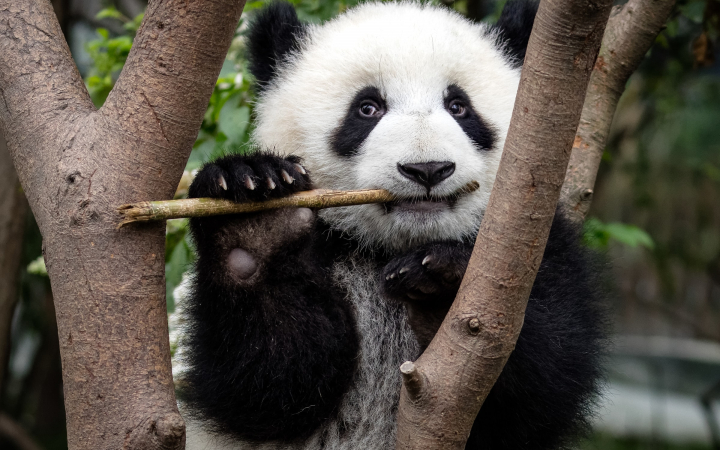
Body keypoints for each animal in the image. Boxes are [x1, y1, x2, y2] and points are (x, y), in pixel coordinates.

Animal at [177, 1, 604, 448]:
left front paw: (442, 284)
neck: (391, 247)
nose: (428, 169)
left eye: (459, 107)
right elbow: (270, 383)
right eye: (368, 108)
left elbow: (545, 378)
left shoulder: (536, 245)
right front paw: (258, 220)